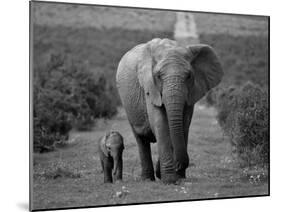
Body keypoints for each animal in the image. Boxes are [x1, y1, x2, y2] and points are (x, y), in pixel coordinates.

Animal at [115, 38, 222, 184]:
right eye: (158, 76)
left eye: (189, 76)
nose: (179, 165)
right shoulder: (150, 87)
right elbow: (160, 123)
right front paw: (170, 180)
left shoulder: (191, 92)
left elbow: (183, 124)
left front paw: (179, 177)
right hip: (128, 105)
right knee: (141, 139)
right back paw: (147, 179)